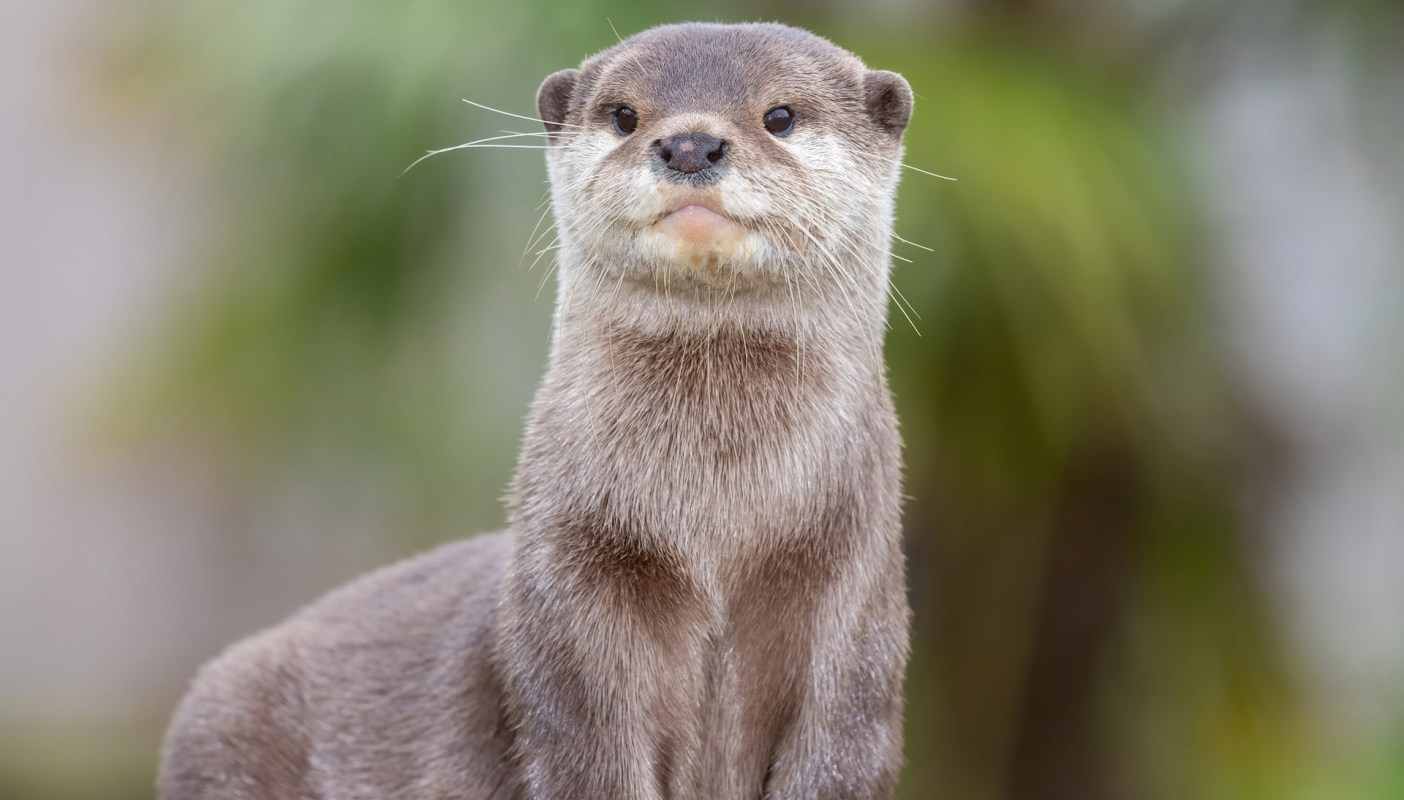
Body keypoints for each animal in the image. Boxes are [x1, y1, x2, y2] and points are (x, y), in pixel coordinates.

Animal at [159, 22, 914, 800]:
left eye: (781, 116)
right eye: (624, 115)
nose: (689, 145)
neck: (714, 531)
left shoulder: (854, 609)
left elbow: (836, 751)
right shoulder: (569, 599)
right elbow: (591, 752)